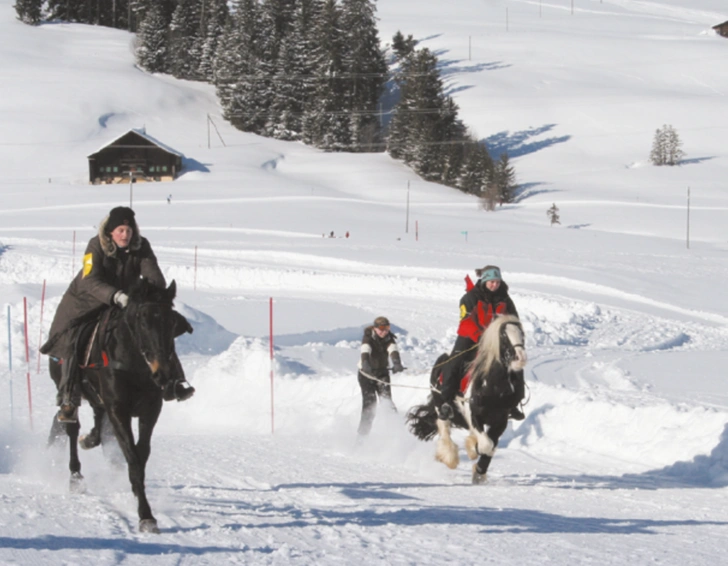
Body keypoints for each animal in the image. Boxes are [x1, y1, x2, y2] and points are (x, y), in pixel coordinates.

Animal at [48, 280, 183, 536]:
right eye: (142, 320)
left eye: (172, 321)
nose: (163, 373)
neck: (135, 364)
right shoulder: (119, 410)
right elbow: (133, 459)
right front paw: (146, 516)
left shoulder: (151, 410)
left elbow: (141, 455)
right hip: (71, 390)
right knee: (71, 426)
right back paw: (75, 475)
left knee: (96, 422)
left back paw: (89, 439)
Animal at [406, 316, 528, 484]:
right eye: (503, 336)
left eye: (522, 334)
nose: (520, 358)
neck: (494, 387)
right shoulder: (472, 414)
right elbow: (486, 445)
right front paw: (472, 450)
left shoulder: (501, 420)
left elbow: (491, 446)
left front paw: (479, 472)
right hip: (441, 406)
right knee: (444, 428)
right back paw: (449, 458)